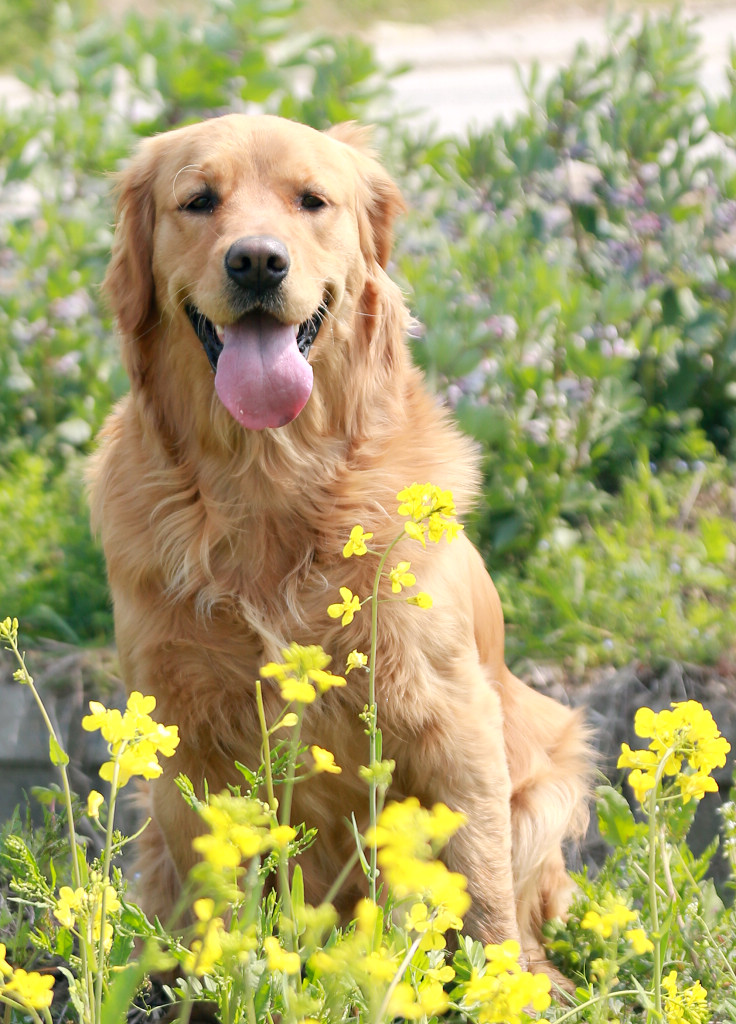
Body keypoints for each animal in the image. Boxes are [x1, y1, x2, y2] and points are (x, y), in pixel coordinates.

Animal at [88, 114, 593, 974]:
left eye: (312, 200)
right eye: (198, 200)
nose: (257, 260)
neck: (270, 482)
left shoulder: (449, 712)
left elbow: (481, 888)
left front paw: (497, 984)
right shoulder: (186, 730)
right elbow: (211, 897)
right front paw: (214, 983)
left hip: (547, 775)